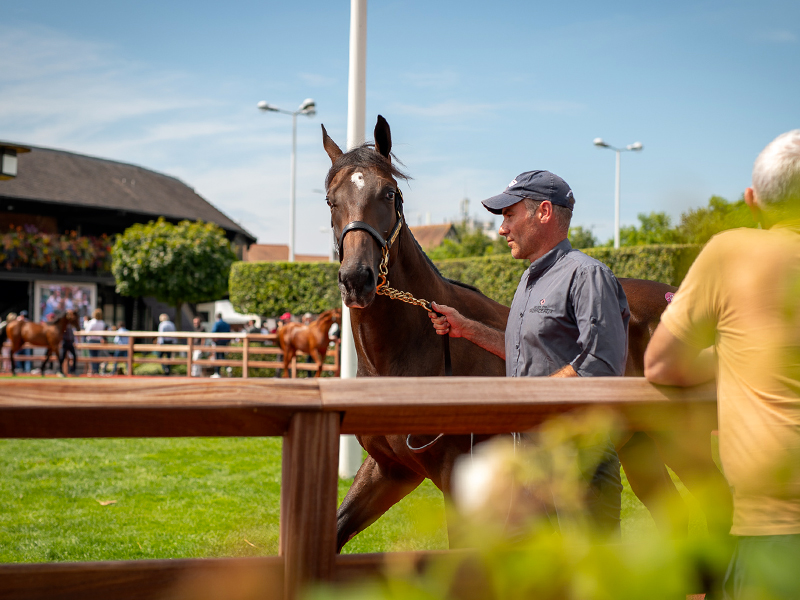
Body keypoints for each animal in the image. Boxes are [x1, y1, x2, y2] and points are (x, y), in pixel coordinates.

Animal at [320, 115, 732, 552]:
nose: (357, 279)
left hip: (683, 444)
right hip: (641, 448)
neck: (409, 358)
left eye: (389, 193)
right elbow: (335, 530)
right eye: (331, 200)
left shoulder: (457, 479)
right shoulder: (390, 470)